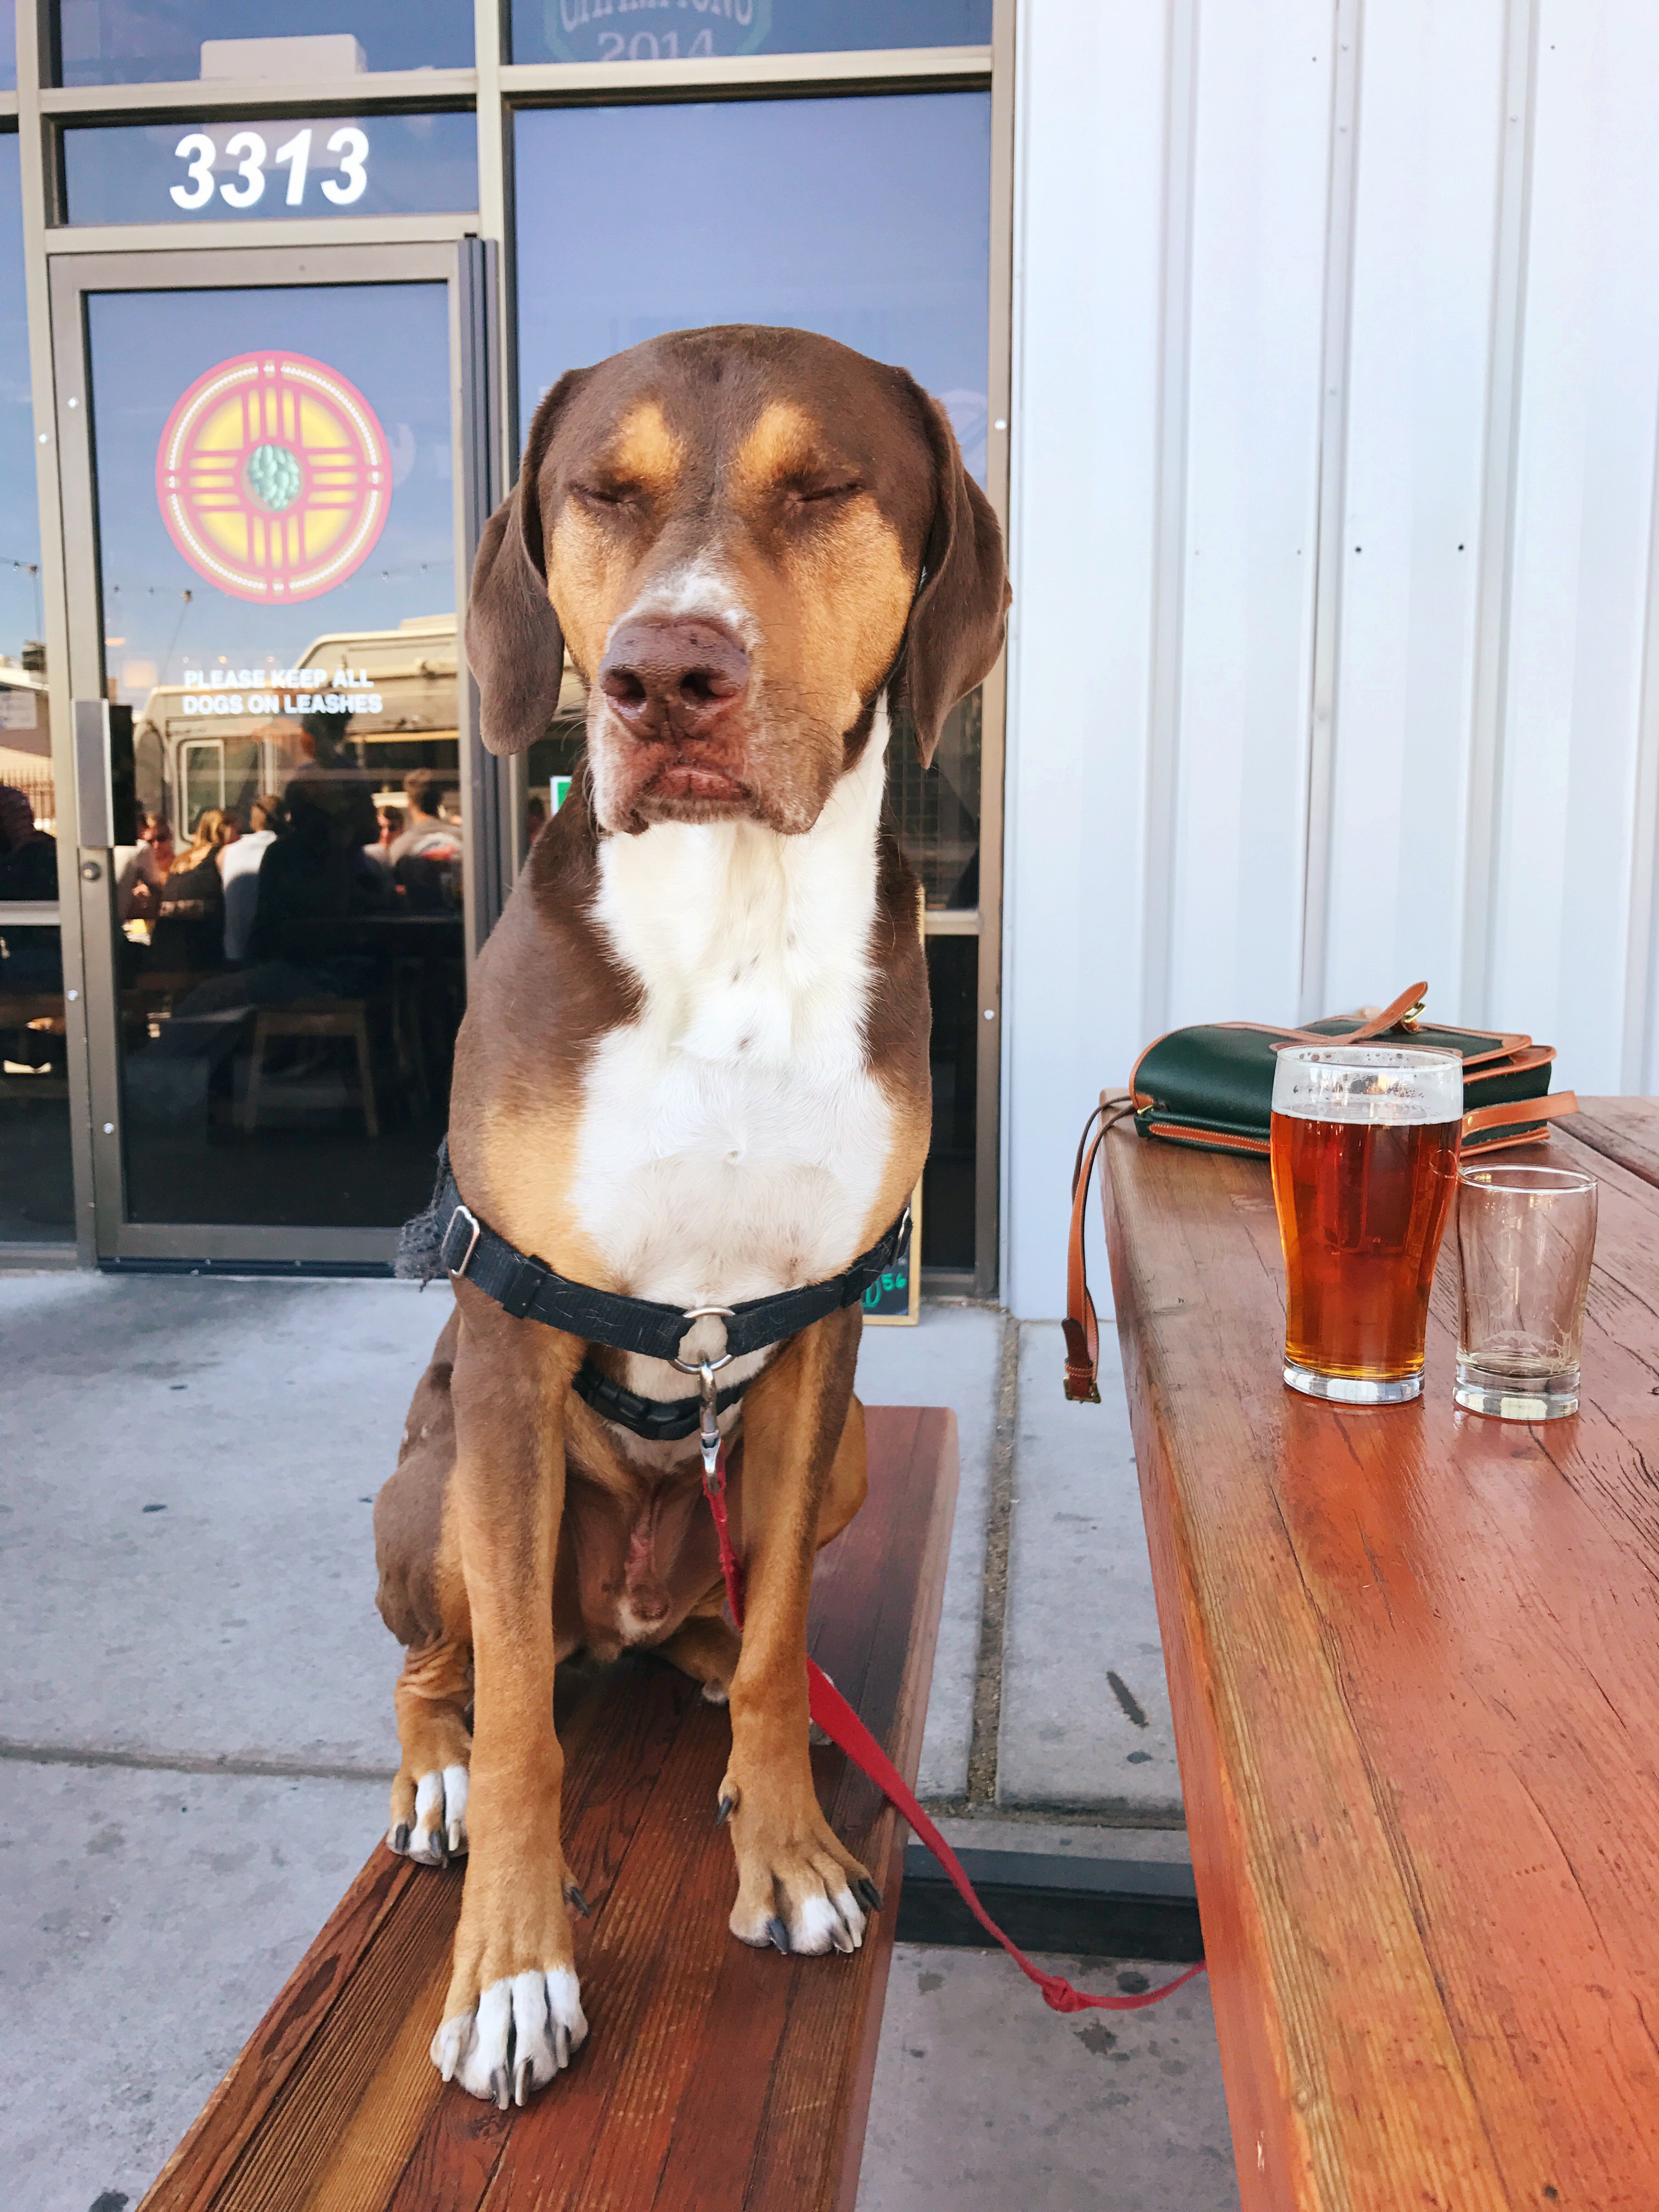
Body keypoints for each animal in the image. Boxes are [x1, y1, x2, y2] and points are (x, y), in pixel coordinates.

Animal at [371, 323, 1008, 2106]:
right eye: (604, 492)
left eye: (823, 488)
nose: (665, 678)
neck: (734, 927)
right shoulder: (512, 1345)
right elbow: (526, 1725)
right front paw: (513, 1970)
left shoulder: (819, 1335)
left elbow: (785, 1622)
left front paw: (782, 1845)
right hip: (439, 1491)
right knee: (448, 1669)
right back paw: (438, 1774)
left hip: (836, 1464)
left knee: (723, 1629)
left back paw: (720, 1672)